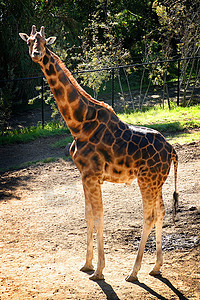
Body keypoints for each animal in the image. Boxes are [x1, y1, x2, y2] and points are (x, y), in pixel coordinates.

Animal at [19, 25, 178, 282]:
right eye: (30, 41)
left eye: (44, 42)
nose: (36, 54)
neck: (79, 124)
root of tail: (173, 150)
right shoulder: (84, 175)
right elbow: (88, 216)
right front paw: (86, 264)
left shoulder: (92, 175)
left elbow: (100, 216)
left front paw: (99, 271)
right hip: (157, 182)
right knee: (161, 212)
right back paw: (155, 267)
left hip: (147, 180)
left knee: (149, 216)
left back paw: (133, 272)